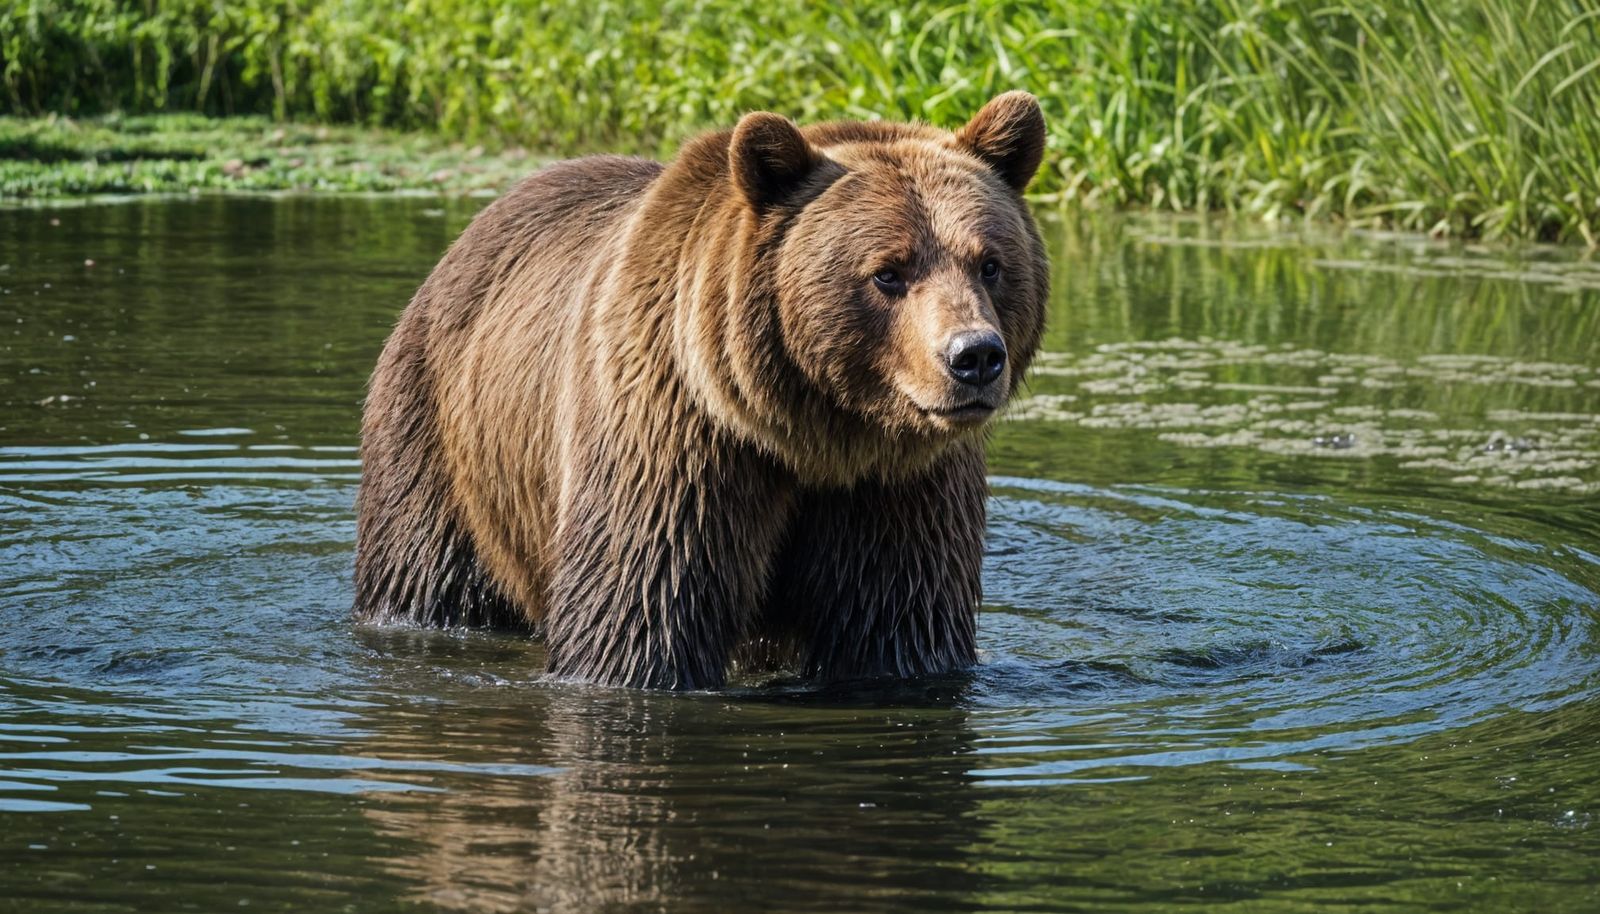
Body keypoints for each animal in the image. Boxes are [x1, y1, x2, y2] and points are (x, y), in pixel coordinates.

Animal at [354, 92, 1049, 690]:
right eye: (888, 272)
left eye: (990, 263)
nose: (974, 356)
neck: (816, 433)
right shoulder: (679, 439)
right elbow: (642, 615)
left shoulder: (898, 489)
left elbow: (898, 625)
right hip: (439, 433)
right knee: (426, 571)